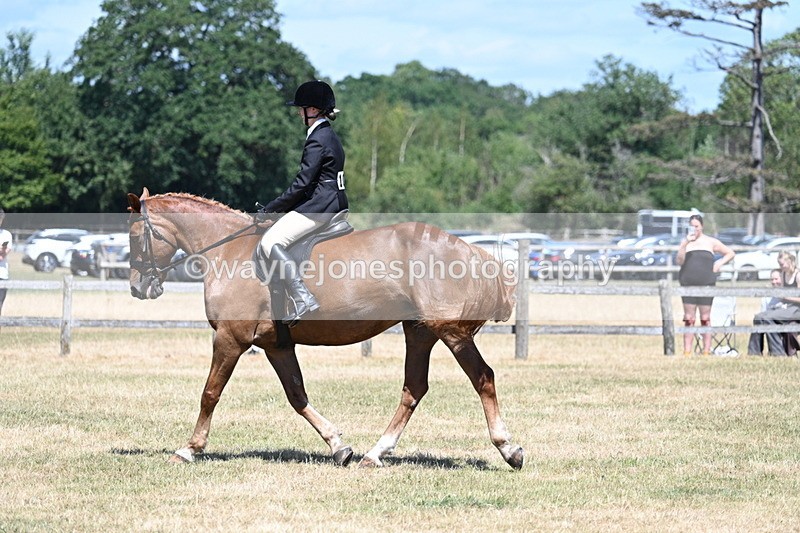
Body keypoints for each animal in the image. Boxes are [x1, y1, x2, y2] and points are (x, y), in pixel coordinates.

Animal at [126, 188, 524, 470]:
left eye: (133, 237)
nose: (137, 288)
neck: (228, 252)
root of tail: (467, 249)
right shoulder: (276, 345)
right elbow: (297, 395)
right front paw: (339, 446)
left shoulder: (229, 339)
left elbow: (210, 393)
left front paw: (189, 449)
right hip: (420, 332)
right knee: (414, 388)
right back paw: (374, 454)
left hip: (450, 331)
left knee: (482, 377)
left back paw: (509, 449)